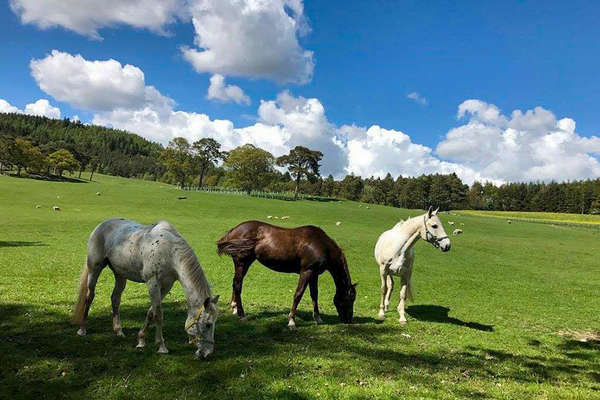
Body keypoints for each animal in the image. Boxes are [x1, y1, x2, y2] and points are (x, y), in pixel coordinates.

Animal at [72, 219, 219, 360]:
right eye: (208, 324)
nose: (207, 353)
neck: (169, 251)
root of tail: (101, 225)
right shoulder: (153, 282)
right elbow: (158, 314)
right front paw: (161, 347)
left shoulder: (166, 285)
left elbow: (151, 312)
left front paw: (141, 340)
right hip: (94, 269)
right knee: (89, 297)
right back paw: (82, 329)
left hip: (120, 275)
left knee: (115, 299)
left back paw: (119, 331)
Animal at [216, 220, 356, 330]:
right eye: (350, 299)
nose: (349, 320)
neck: (321, 245)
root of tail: (233, 231)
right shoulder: (306, 271)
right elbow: (298, 294)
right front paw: (291, 321)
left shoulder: (314, 274)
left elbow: (314, 295)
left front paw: (318, 318)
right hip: (242, 262)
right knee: (238, 285)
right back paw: (241, 314)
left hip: (244, 264)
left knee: (235, 283)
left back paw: (234, 308)